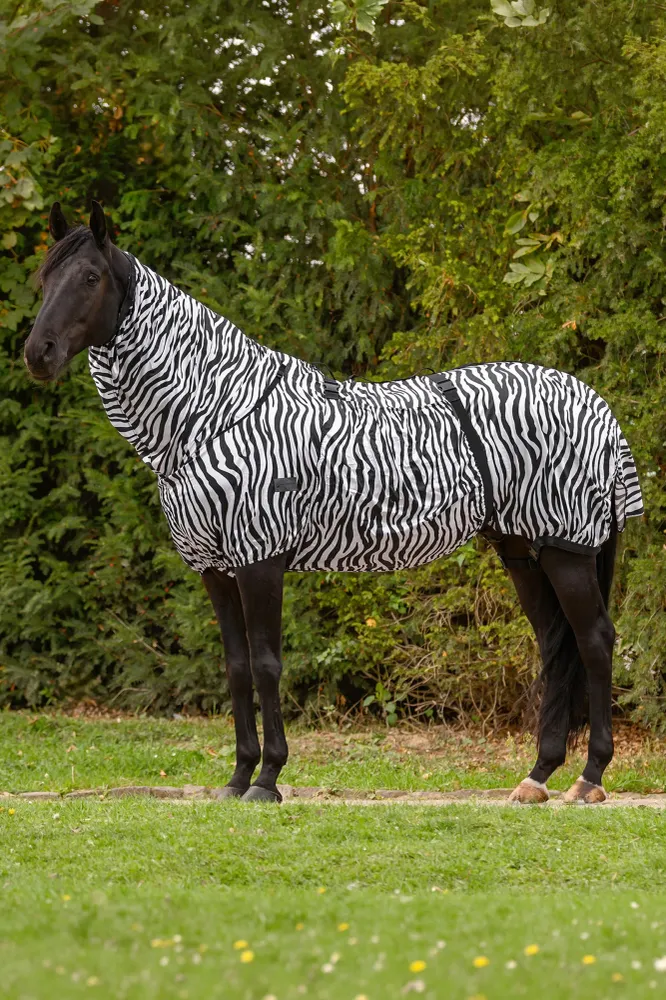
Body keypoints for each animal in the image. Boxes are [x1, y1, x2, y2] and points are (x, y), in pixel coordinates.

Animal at [24, 201, 644, 805]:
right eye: (44, 277)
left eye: (89, 277)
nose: (38, 354)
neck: (214, 412)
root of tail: (597, 405)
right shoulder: (214, 569)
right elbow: (236, 668)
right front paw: (237, 778)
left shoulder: (260, 559)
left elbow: (268, 665)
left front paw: (268, 780)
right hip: (522, 551)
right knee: (556, 647)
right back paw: (537, 777)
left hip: (566, 549)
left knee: (594, 641)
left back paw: (589, 778)